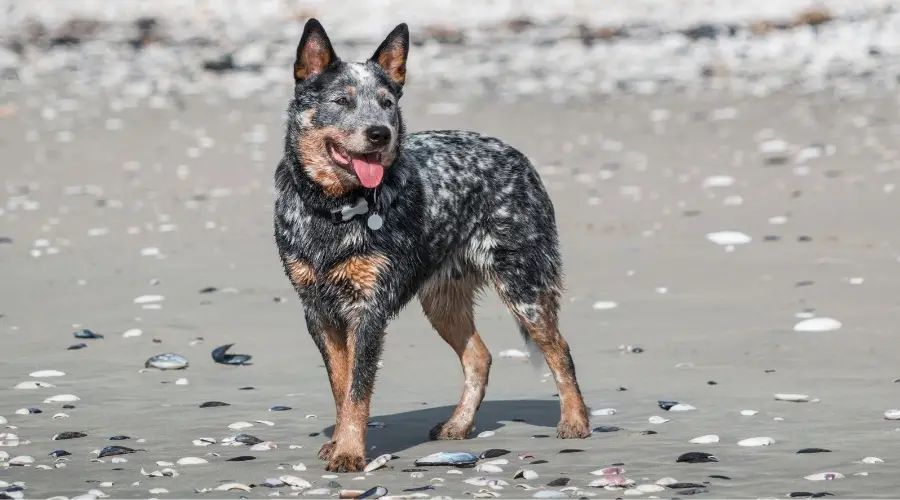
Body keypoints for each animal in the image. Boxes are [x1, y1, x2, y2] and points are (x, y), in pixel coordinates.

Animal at [272, 18, 592, 472]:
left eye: (387, 102)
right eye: (342, 100)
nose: (380, 133)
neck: (334, 209)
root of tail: (517, 155)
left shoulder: (367, 310)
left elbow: (357, 391)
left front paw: (349, 451)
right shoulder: (317, 310)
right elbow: (341, 384)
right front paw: (338, 443)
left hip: (523, 285)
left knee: (559, 347)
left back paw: (575, 420)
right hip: (441, 300)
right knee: (479, 357)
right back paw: (458, 425)